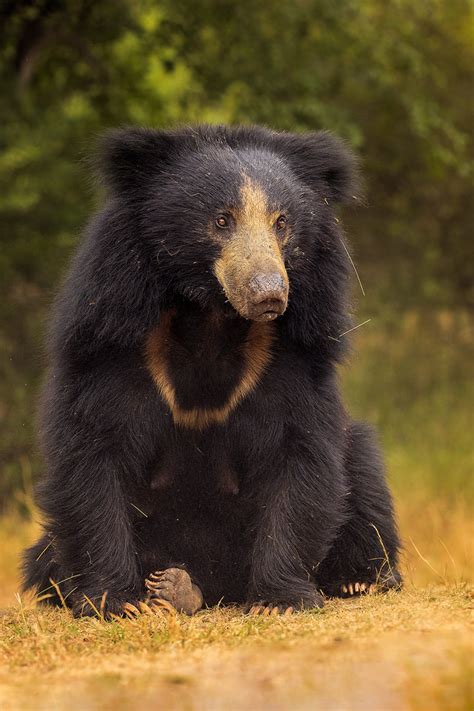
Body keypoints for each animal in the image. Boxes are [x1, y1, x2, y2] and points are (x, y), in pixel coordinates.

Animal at [22, 124, 400, 616]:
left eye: (282, 222)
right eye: (222, 220)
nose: (269, 294)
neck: (213, 316)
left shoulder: (295, 353)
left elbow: (299, 453)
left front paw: (279, 600)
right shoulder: (110, 338)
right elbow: (93, 452)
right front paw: (115, 601)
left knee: (364, 470)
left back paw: (360, 580)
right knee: (47, 559)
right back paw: (175, 588)